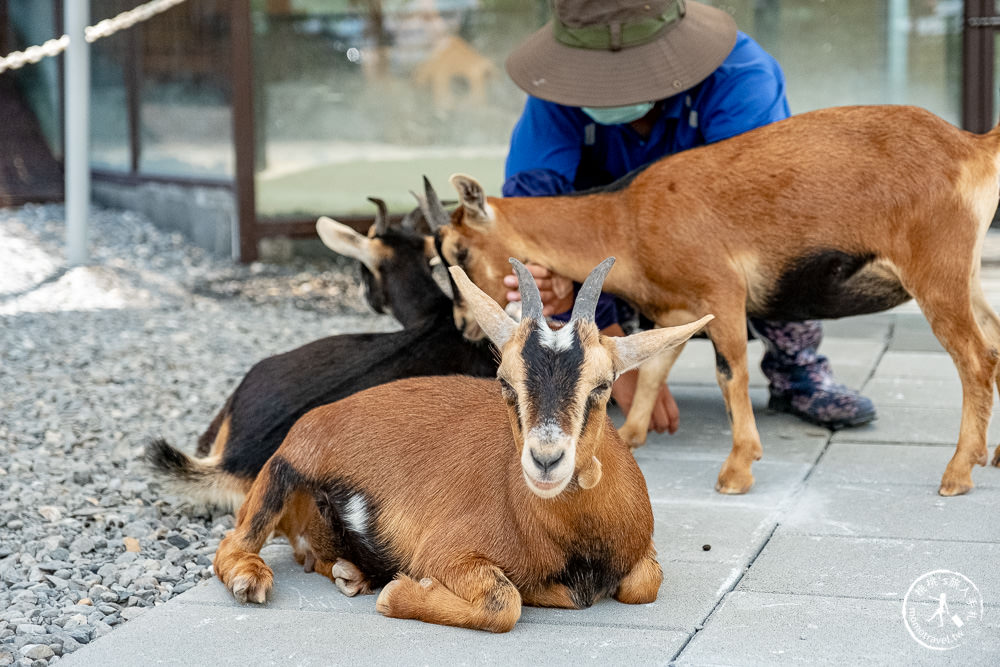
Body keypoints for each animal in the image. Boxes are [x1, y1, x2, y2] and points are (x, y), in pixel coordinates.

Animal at [211, 258, 712, 636]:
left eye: (603, 384)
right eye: (504, 381)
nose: (546, 460)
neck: (577, 539)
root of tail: (319, 416)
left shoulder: (641, 560)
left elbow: (644, 583)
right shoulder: (445, 553)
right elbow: (505, 602)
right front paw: (398, 592)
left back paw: (351, 575)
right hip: (282, 471)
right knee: (231, 542)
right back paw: (252, 580)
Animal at [436, 104, 1000, 498]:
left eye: (459, 250)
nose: (464, 326)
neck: (626, 218)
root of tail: (972, 146)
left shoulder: (723, 292)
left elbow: (731, 375)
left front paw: (737, 469)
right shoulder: (678, 312)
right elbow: (653, 372)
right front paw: (632, 436)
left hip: (937, 272)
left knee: (975, 359)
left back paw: (958, 473)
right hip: (967, 276)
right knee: (994, 346)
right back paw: (992, 457)